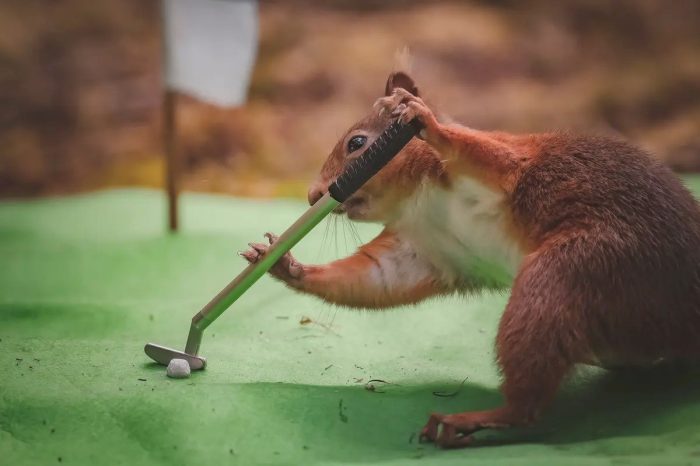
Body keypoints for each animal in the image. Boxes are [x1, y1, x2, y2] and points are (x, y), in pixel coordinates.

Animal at [241, 69, 700, 448]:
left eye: (357, 143)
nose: (312, 195)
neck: (419, 199)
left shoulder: (508, 164)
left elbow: (492, 156)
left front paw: (425, 121)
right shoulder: (422, 250)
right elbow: (377, 278)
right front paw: (282, 263)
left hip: (578, 271)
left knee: (528, 405)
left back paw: (466, 421)